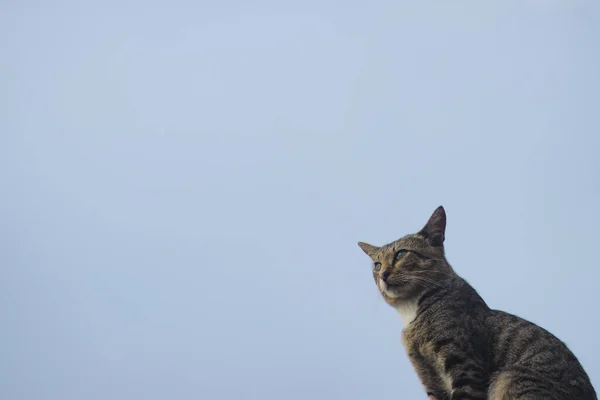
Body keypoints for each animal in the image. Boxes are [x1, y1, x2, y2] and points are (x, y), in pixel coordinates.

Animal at [356, 208, 596, 398]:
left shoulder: (465, 365)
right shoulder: (430, 378)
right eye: (377, 265)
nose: (383, 274)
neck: (412, 312)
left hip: (509, 378)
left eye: (401, 254)